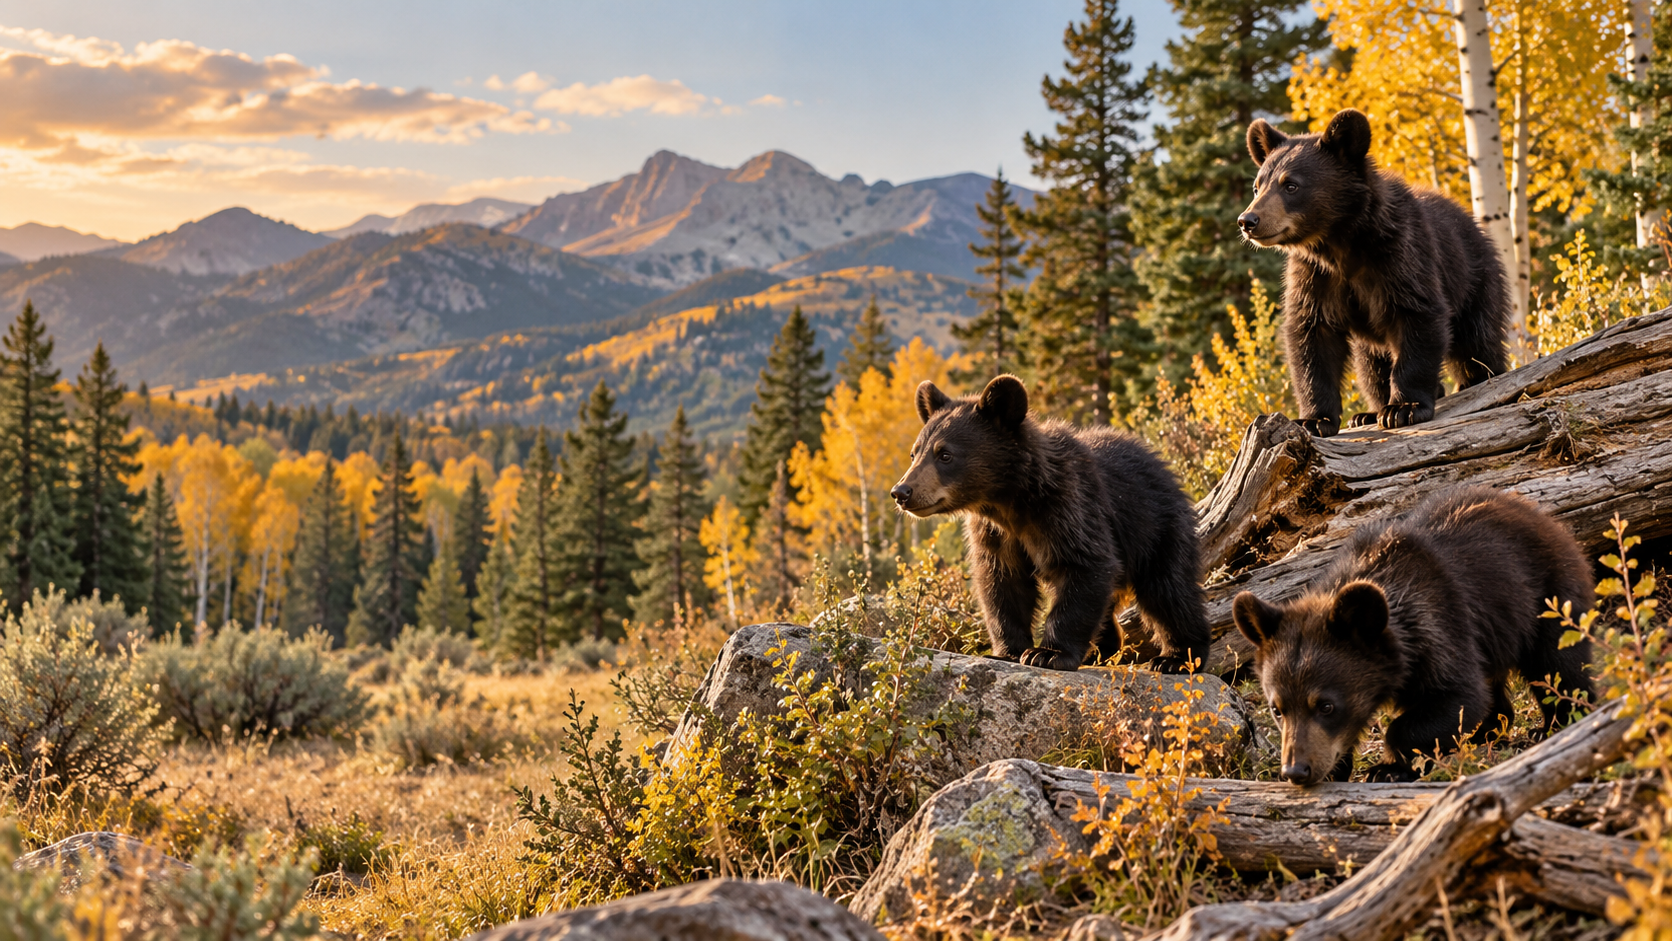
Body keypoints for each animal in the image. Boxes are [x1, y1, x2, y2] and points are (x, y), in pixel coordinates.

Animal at [889, 374, 1211, 673]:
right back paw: (1101, 649)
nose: (901, 492)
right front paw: (1006, 651)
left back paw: (1177, 658)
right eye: (915, 452)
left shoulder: (1068, 508)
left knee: (1169, 590)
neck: (1010, 501)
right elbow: (1002, 583)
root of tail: (1163, 465)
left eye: (945, 454)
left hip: (1156, 527)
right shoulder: (996, 534)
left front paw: (1047, 653)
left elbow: (1084, 565)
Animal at [1232, 486, 1595, 785]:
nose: (1296, 771)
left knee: (1560, 665)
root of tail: (1542, 516)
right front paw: (1340, 766)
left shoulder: (1440, 626)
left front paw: (1388, 769)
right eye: (1277, 709)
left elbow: (1460, 697)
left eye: (1326, 705)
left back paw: (1557, 724)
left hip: (1548, 596)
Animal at [1237, 108, 1511, 437]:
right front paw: (1314, 419)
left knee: (1477, 342)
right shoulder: (1314, 278)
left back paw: (1476, 378)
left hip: (1476, 280)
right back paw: (1367, 413)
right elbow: (1311, 336)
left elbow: (1419, 315)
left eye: (1291, 185)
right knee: (1371, 365)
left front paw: (1404, 408)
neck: (1339, 244)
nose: (1248, 221)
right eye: (1257, 186)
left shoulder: (1400, 257)